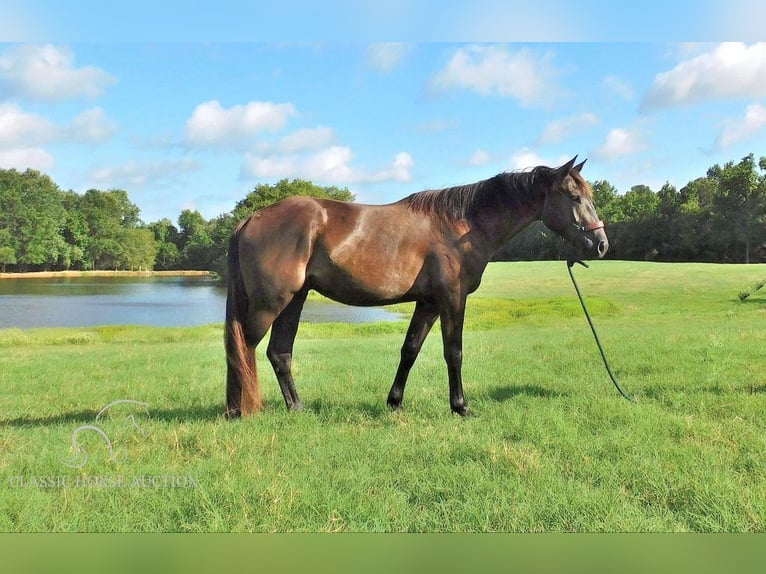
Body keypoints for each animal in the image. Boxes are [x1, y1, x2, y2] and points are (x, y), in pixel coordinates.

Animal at [225, 156, 608, 418]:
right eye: (574, 197)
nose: (602, 244)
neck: (461, 225)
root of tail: (252, 218)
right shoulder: (452, 299)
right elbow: (454, 353)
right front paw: (461, 407)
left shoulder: (428, 303)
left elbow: (409, 350)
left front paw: (394, 403)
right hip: (271, 303)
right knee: (243, 348)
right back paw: (238, 410)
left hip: (295, 300)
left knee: (278, 353)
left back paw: (296, 408)